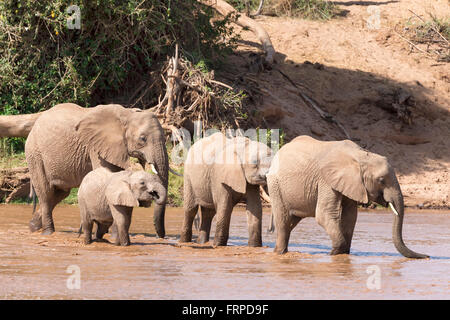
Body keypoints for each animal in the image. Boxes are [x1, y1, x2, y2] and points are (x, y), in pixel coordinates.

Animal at [24, 104, 169, 236]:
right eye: (142, 139)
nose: (161, 236)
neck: (127, 114)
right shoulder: (95, 146)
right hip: (35, 154)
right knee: (46, 193)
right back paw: (48, 232)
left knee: (60, 194)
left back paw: (33, 227)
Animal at [268, 134, 428, 258]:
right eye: (381, 180)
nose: (427, 256)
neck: (360, 156)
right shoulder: (326, 179)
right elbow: (324, 214)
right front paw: (334, 254)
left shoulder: (353, 184)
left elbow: (350, 216)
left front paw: (342, 253)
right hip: (275, 185)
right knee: (283, 221)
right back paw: (280, 253)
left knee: (291, 221)